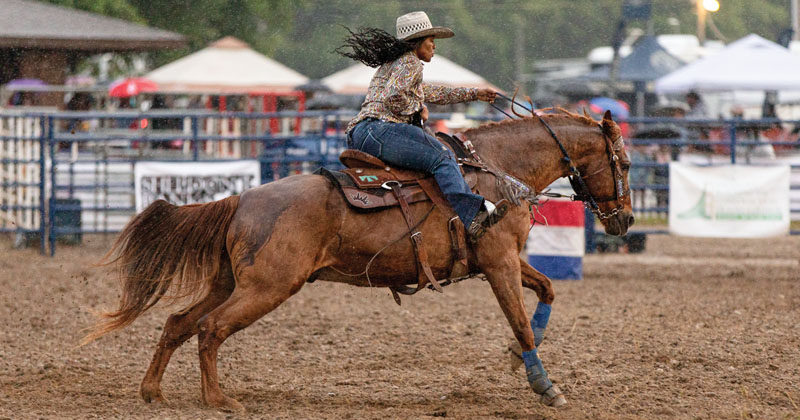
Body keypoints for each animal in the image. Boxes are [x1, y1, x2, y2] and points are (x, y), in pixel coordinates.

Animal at [84, 109, 636, 414]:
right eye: (626, 163)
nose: (626, 220)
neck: (498, 171)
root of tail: (241, 199)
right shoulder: (499, 261)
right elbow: (520, 322)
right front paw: (546, 387)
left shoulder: (502, 261)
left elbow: (546, 292)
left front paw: (520, 358)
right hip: (267, 288)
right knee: (210, 329)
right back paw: (219, 400)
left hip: (230, 282)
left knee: (178, 323)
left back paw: (153, 391)